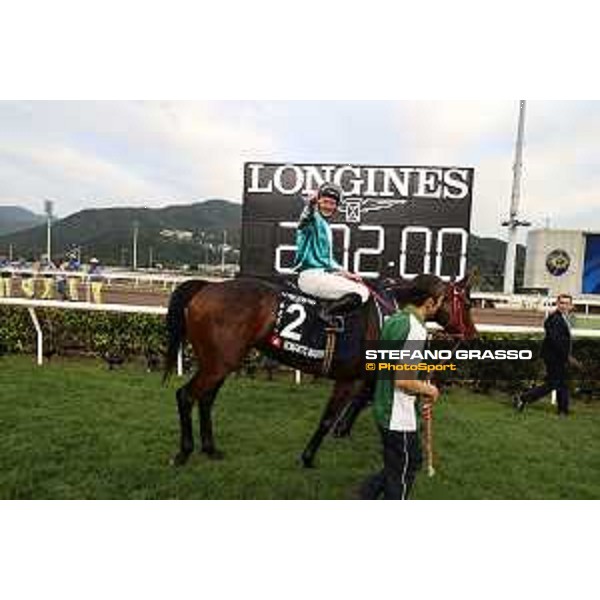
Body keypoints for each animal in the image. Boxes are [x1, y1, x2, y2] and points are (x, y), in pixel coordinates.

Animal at [162, 276, 476, 468]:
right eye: (468, 303)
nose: (472, 335)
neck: (389, 313)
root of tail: (206, 287)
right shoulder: (350, 378)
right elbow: (329, 417)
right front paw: (310, 456)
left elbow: (364, 399)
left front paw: (343, 430)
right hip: (218, 363)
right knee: (185, 395)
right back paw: (184, 451)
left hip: (220, 362)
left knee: (205, 399)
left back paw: (210, 448)